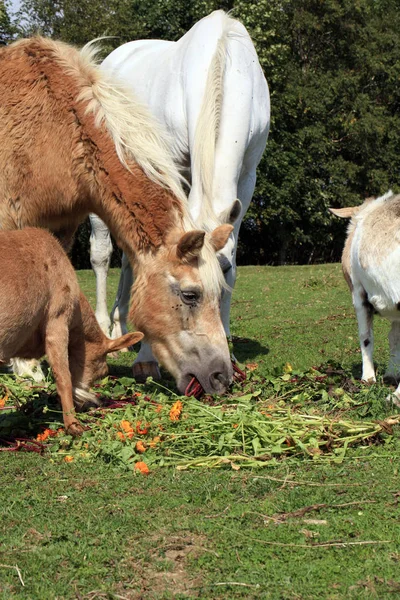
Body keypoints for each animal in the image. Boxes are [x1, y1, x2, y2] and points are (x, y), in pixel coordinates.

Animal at [90, 9, 270, 380]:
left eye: (224, 271)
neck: (224, 63)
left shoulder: (248, 176)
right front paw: (146, 358)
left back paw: (121, 327)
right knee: (101, 254)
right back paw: (104, 329)